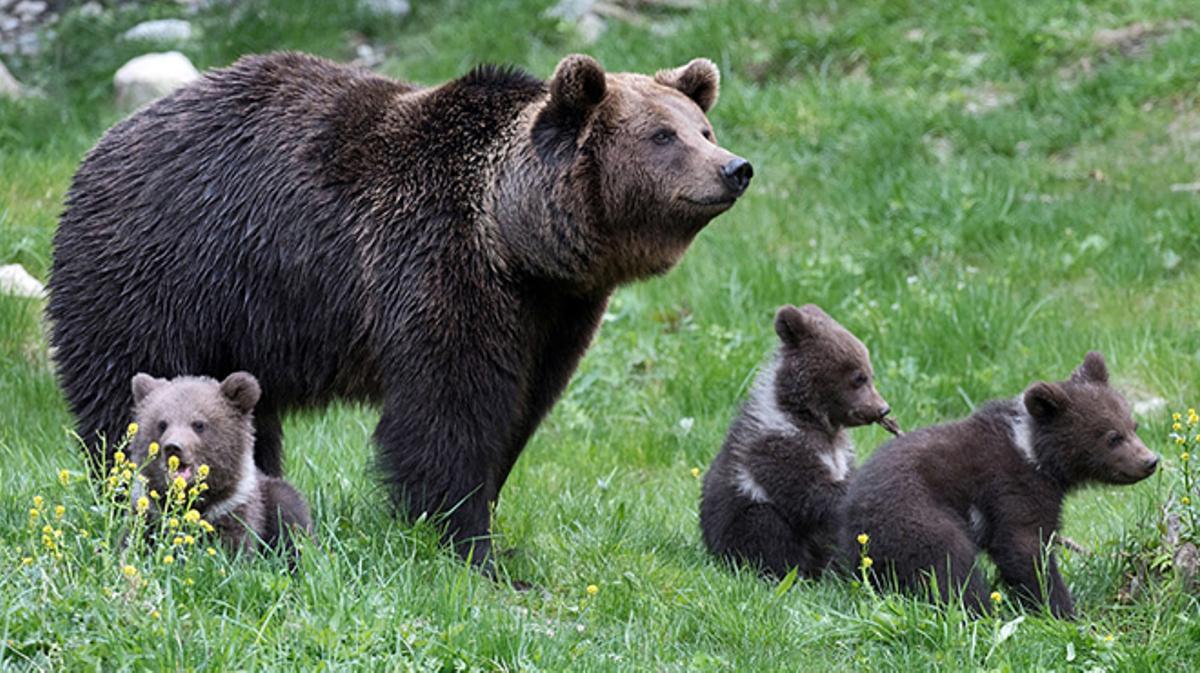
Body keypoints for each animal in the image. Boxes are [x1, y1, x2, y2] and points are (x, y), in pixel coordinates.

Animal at [51, 51, 753, 561]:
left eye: (704, 128)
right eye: (663, 135)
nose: (735, 167)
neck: (517, 240)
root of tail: (98, 147)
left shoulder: (556, 314)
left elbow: (520, 410)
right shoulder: (435, 263)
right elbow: (447, 412)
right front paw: (469, 544)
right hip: (159, 271)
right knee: (124, 386)